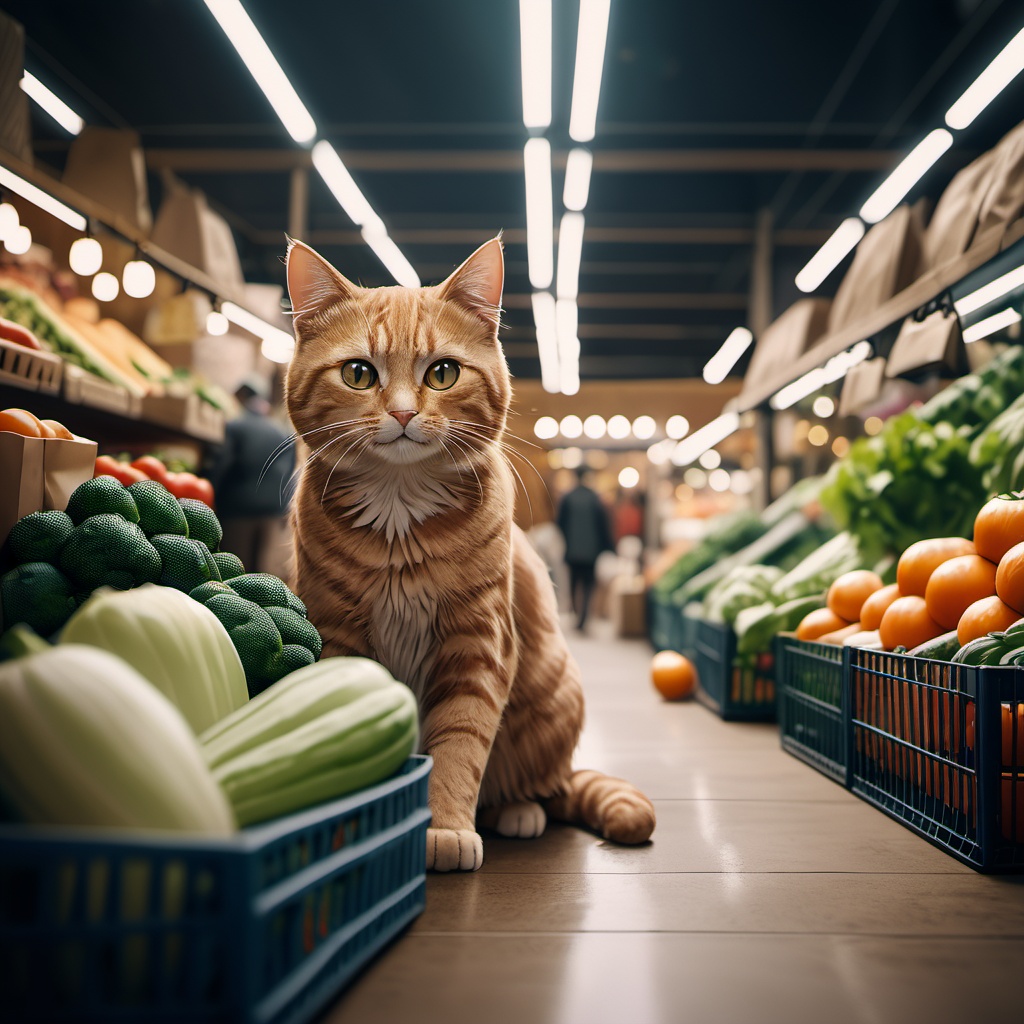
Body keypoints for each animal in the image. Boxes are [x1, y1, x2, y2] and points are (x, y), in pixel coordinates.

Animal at [284, 235, 659, 868]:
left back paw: (519, 811)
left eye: (443, 373)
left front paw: (445, 827)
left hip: (553, 702)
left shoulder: (477, 641)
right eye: (359, 373)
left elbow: (459, 743)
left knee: (543, 786)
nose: (403, 413)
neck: (399, 514)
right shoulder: (336, 636)